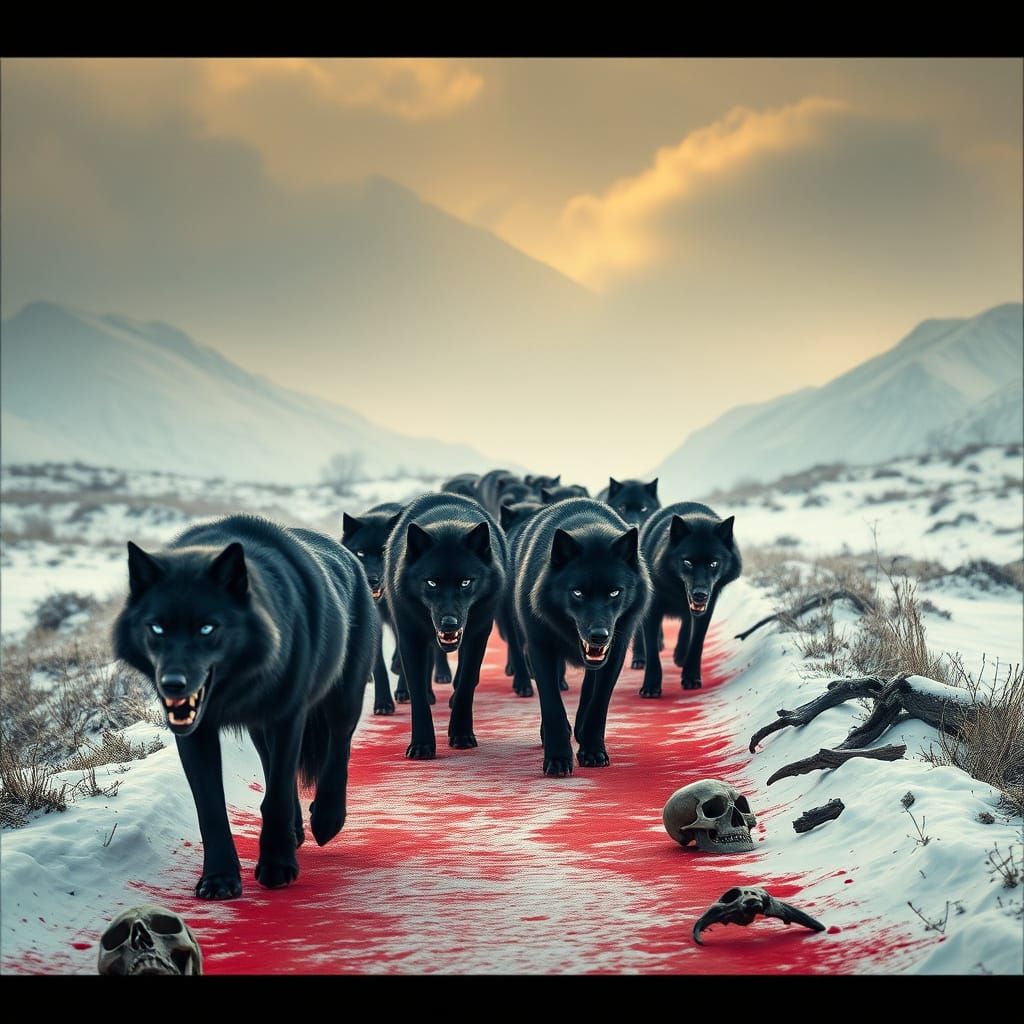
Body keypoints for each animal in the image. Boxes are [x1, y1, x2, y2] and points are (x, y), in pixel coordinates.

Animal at [112, 515, 379, 900]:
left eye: (207, 628)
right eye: (157, 628)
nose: (172, 683)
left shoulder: (288, 717)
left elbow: (278, 795)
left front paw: (278, 867)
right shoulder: (197, 734)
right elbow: (211, 808)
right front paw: (219, 879)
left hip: (343, 699)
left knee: (337, 749)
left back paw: (325, 821)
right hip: (259, 729)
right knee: (274, 767)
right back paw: (297, 831)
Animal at [383, 493, 508, 759]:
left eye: (465, 582)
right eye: (431, 582)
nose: (449, 623)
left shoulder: (478, 634)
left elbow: (466, 684)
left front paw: (461, 734)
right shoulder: (410, 636)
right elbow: (418, 693)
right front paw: (421, 745)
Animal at [513, 498, 650, 775]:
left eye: (614, 592)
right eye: (577, 593)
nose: (599, 636)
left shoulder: (616, 653)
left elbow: (598, 703)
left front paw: (593, 750)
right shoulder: (540, 648)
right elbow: (552, 704)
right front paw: (557, 758)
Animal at [637, 502, 741, 697]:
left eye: (713, 563)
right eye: (687, 562)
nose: (700, 594)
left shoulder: (707, 609)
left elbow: (697, 642)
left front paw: (691, 677)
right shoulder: (653, 610)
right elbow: (652, 648)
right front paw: (651, 686)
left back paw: (680, 655)